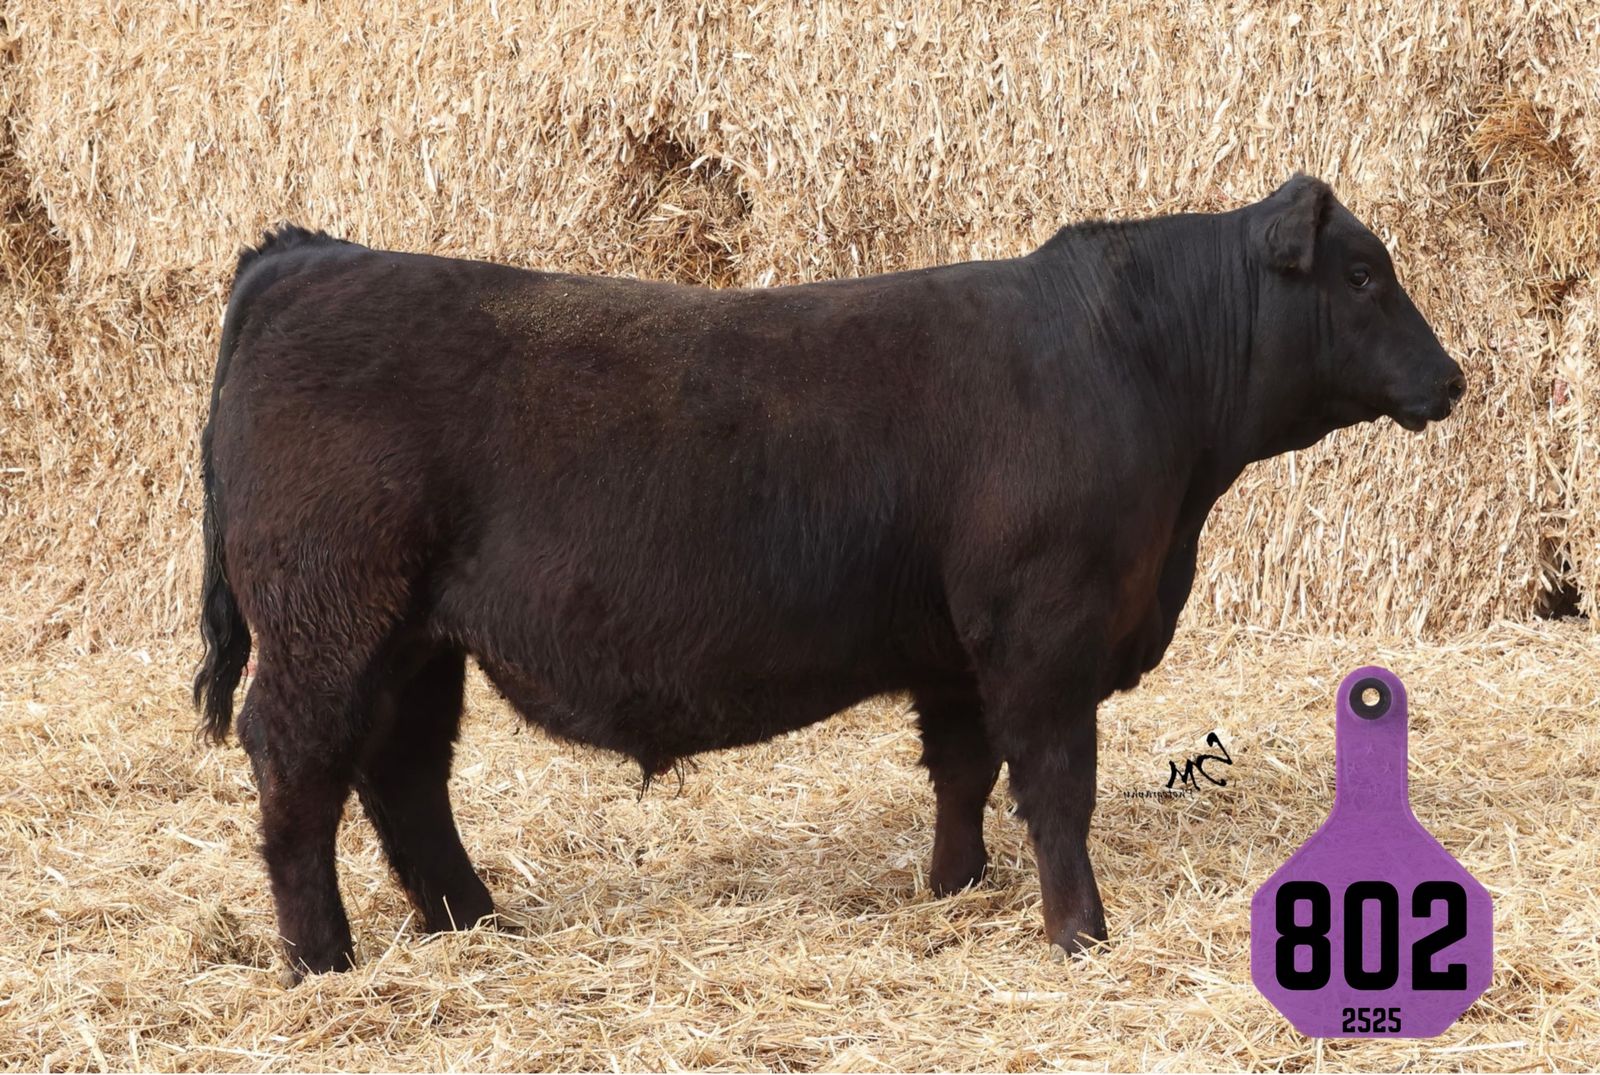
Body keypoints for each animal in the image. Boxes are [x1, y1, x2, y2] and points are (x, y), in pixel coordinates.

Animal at [193, 175, 1464, 978]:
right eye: (1361, 275)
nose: (1450, 376)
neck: (1133, 361)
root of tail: (310, 257)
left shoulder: (956, 646)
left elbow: (961, 769)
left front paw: (954, 889)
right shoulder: (1043, 629)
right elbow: (1055, 783)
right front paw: (1078, 931)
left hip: (416, 638)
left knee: (404, 773)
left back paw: (470, 924)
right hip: (329, 618)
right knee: (299, 765)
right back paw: (321, 959)